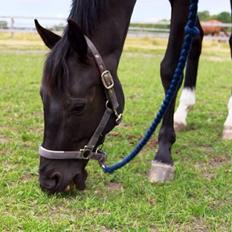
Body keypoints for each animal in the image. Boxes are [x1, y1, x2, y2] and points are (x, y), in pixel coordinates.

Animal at [35, 0, 231, 194]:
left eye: (78, 107)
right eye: (43, 98)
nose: (49, 180)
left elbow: (170, 69)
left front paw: (163, 156)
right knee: (198, 37)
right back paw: (182, 114)